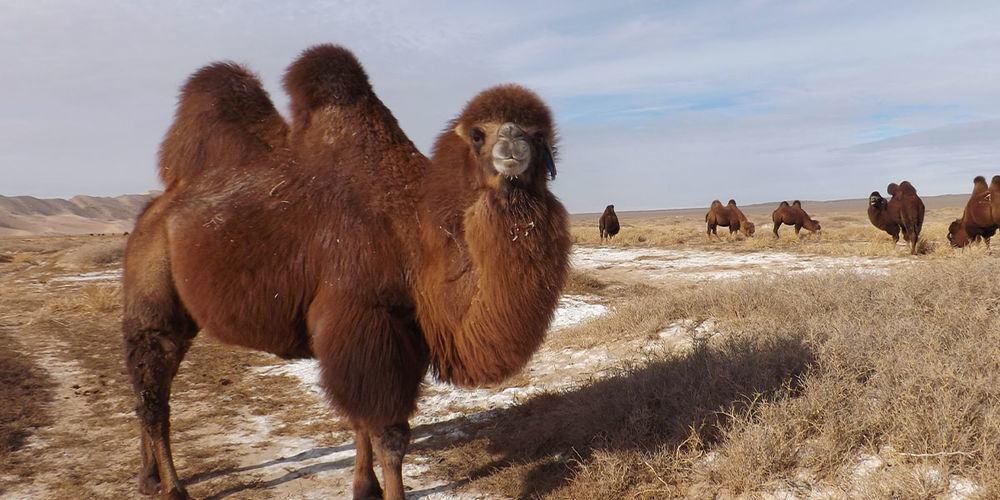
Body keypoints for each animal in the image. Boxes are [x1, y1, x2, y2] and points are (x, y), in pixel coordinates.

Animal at [121, 44, 572, 500]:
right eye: (478, 134)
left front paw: (364, 486)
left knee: (150, 389)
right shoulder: (364, 319)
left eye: (538, 133)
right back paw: (173, 487)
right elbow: (389, 434)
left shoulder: (382, 332)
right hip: (152, 294)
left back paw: (148, 477)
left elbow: (360, 421)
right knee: (153, 389)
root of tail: (153, 212)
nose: (513, 140)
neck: (416, 234)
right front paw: (386, 491)